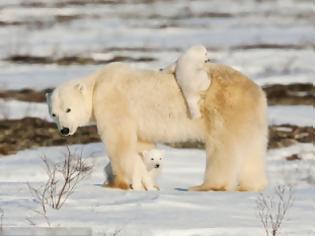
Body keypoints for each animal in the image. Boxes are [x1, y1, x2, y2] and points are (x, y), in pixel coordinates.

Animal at [47, 61, 270, 192]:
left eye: (68, 109)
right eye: (53, 114)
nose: (64, 130)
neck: (97, 84)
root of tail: (256, 90)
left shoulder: (113, 103)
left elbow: (119, 142)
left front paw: (115, 183)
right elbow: (141, 145)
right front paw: (148, 179)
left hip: (223, 109)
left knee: (222, 149)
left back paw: (206, 186)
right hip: (250, 117)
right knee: (253, 150)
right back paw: (251, 185)